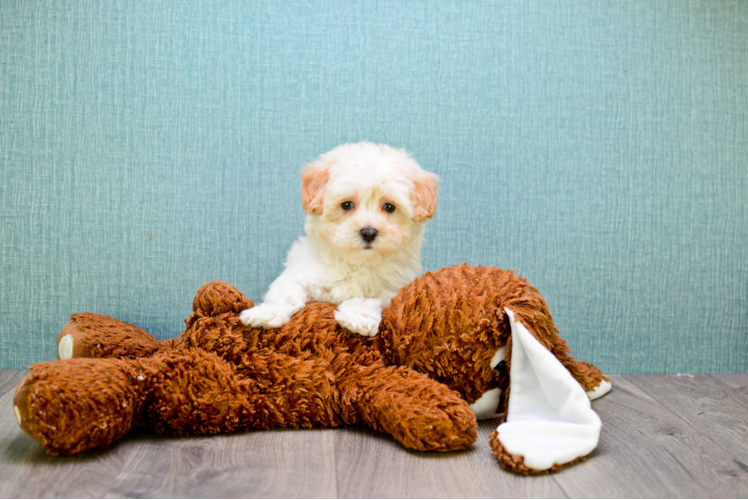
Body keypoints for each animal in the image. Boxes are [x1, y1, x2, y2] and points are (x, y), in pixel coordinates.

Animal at [240, 142, 438, 336]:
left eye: (389, 207)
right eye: (347, 205)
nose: (368, 232)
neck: (356, 263)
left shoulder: (390, 291)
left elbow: (364, 299)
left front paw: (357, 318)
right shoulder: (301, 272)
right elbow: (285, 294)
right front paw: (265, 313)